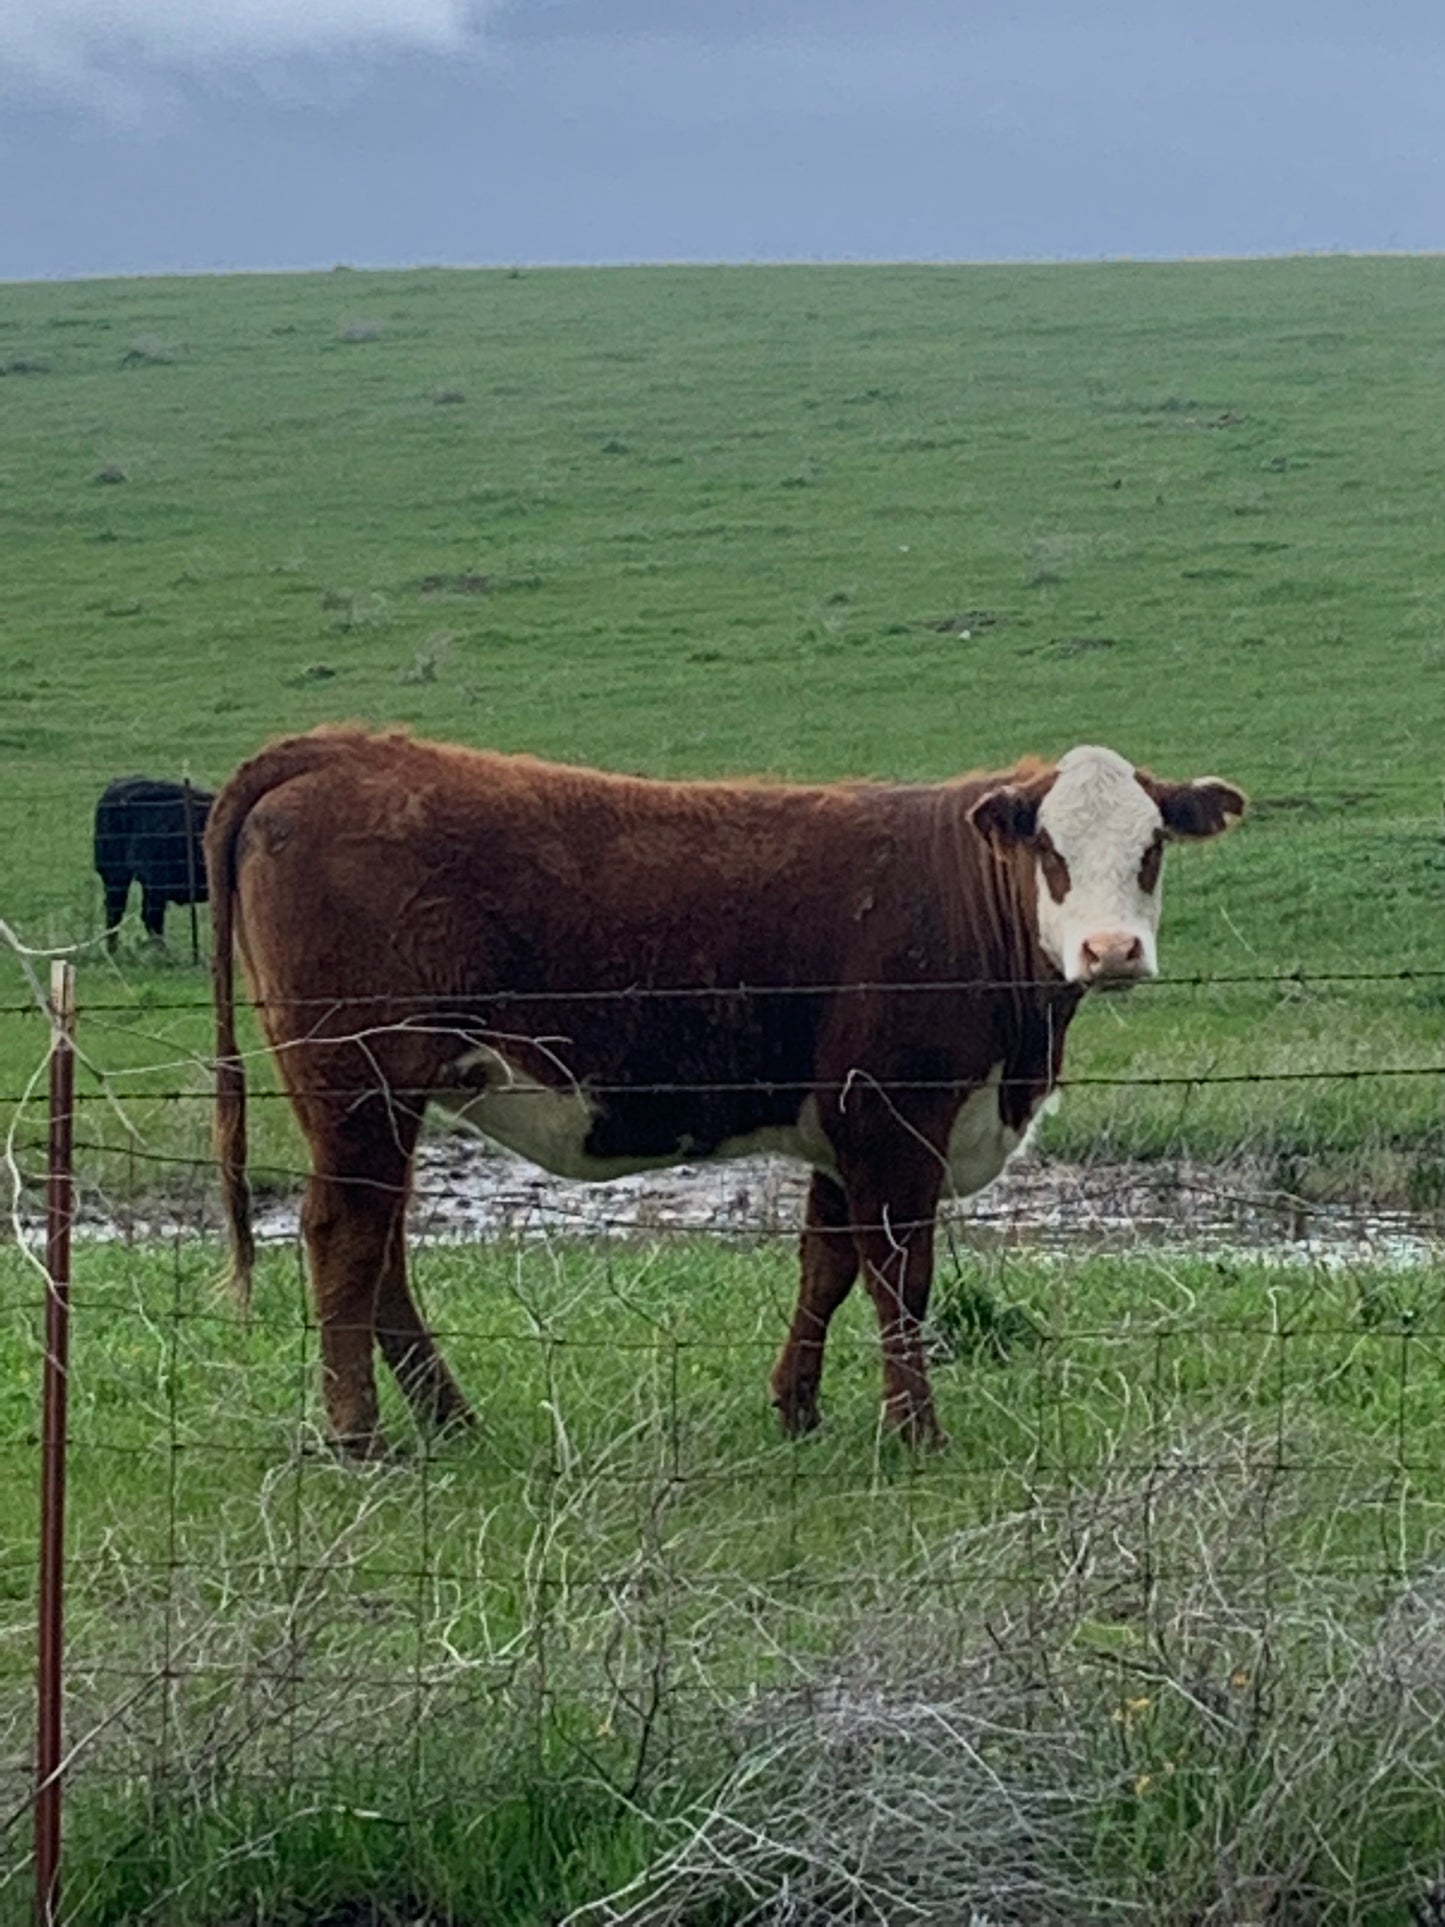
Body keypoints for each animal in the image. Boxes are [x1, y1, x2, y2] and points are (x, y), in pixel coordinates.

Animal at [207, 727, 1245, 1458]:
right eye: (1050, 850)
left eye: (1151, 847)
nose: (1111, 950)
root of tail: (345, 746)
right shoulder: (895, 1119)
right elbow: (898, 1278)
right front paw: (915, 1430)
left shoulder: (841, 1130)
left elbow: (825, 1266)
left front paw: (797, 1407)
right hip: (358, 1087)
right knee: (343, 1234)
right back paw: (359, 1433)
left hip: (384, 1102)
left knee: (378, 1241)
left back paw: (448, 1418)